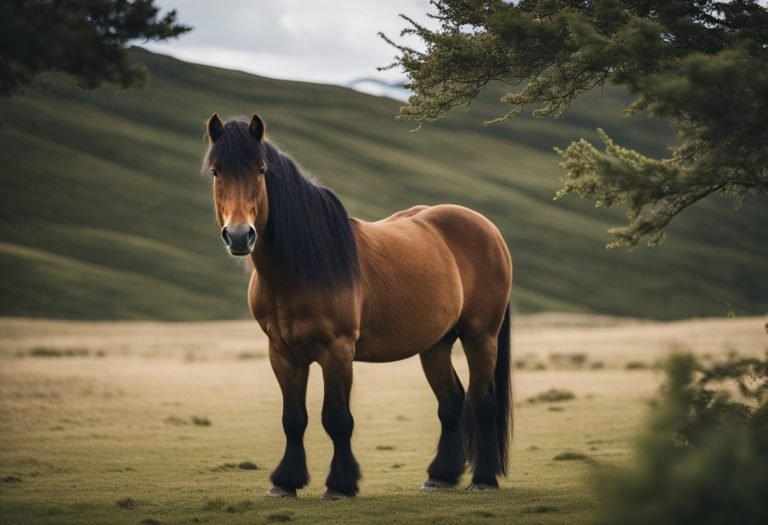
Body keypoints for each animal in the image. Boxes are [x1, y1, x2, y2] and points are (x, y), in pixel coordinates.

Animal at [204, 111, 512, 500]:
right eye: (216, 172)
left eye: (260, 170)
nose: (240, 236)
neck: (301, 267)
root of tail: (489, 228)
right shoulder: (282, 354)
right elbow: (293, 420)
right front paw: (285, 482)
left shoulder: (337, 351)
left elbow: (336, 419)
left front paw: (339, 485)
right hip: (436, 345)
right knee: (451, 404)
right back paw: (440, 476)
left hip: (480, 336)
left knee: (483, 404)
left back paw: (483, 479)